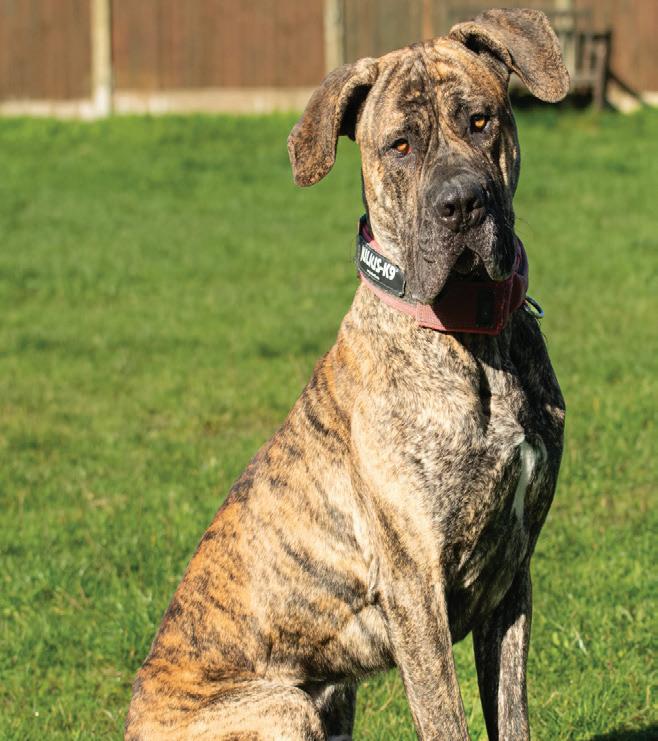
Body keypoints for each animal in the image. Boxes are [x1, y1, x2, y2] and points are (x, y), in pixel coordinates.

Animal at [126, 8, 568, 740]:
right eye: (400, 146)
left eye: (481, 121)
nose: (462, 203)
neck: (475, 337)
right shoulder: (415, 590)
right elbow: (447, 719)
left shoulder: (514, 576)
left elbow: (511, 713)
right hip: (285, 703)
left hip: (333, 699)